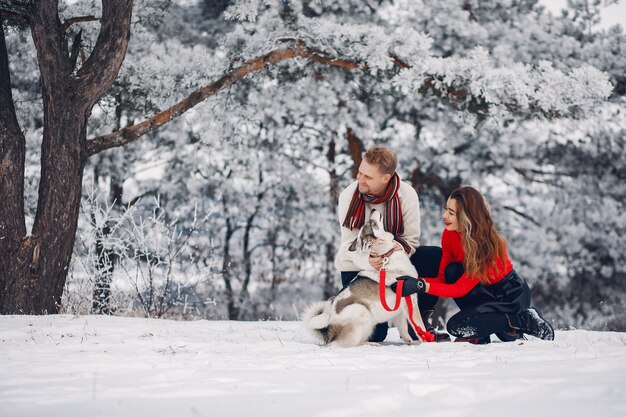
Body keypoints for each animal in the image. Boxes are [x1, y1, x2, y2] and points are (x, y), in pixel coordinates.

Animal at [302, 210, 424, 346]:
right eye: (372, 223)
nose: (373, 210)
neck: (386, 256)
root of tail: (329, 334)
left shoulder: (399, 309)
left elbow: (404, 330)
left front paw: (411, 343)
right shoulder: (410, 303)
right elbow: (420, 327)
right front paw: (428, 342)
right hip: (361, 311)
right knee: (347, 344)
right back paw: (370, 344)